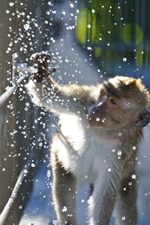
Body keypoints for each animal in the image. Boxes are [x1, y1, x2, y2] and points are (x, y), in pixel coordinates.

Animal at [25, 51, 150, 224]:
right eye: (103, 94)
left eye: (113, 102)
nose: (96, 109)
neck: (105, 131)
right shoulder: (84, 100)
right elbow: (50, 97)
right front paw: (41, 72)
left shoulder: (122, 150)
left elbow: (105, 189)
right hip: (61, 160)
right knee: (64, 185)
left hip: (127, 176)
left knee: (127, 206)